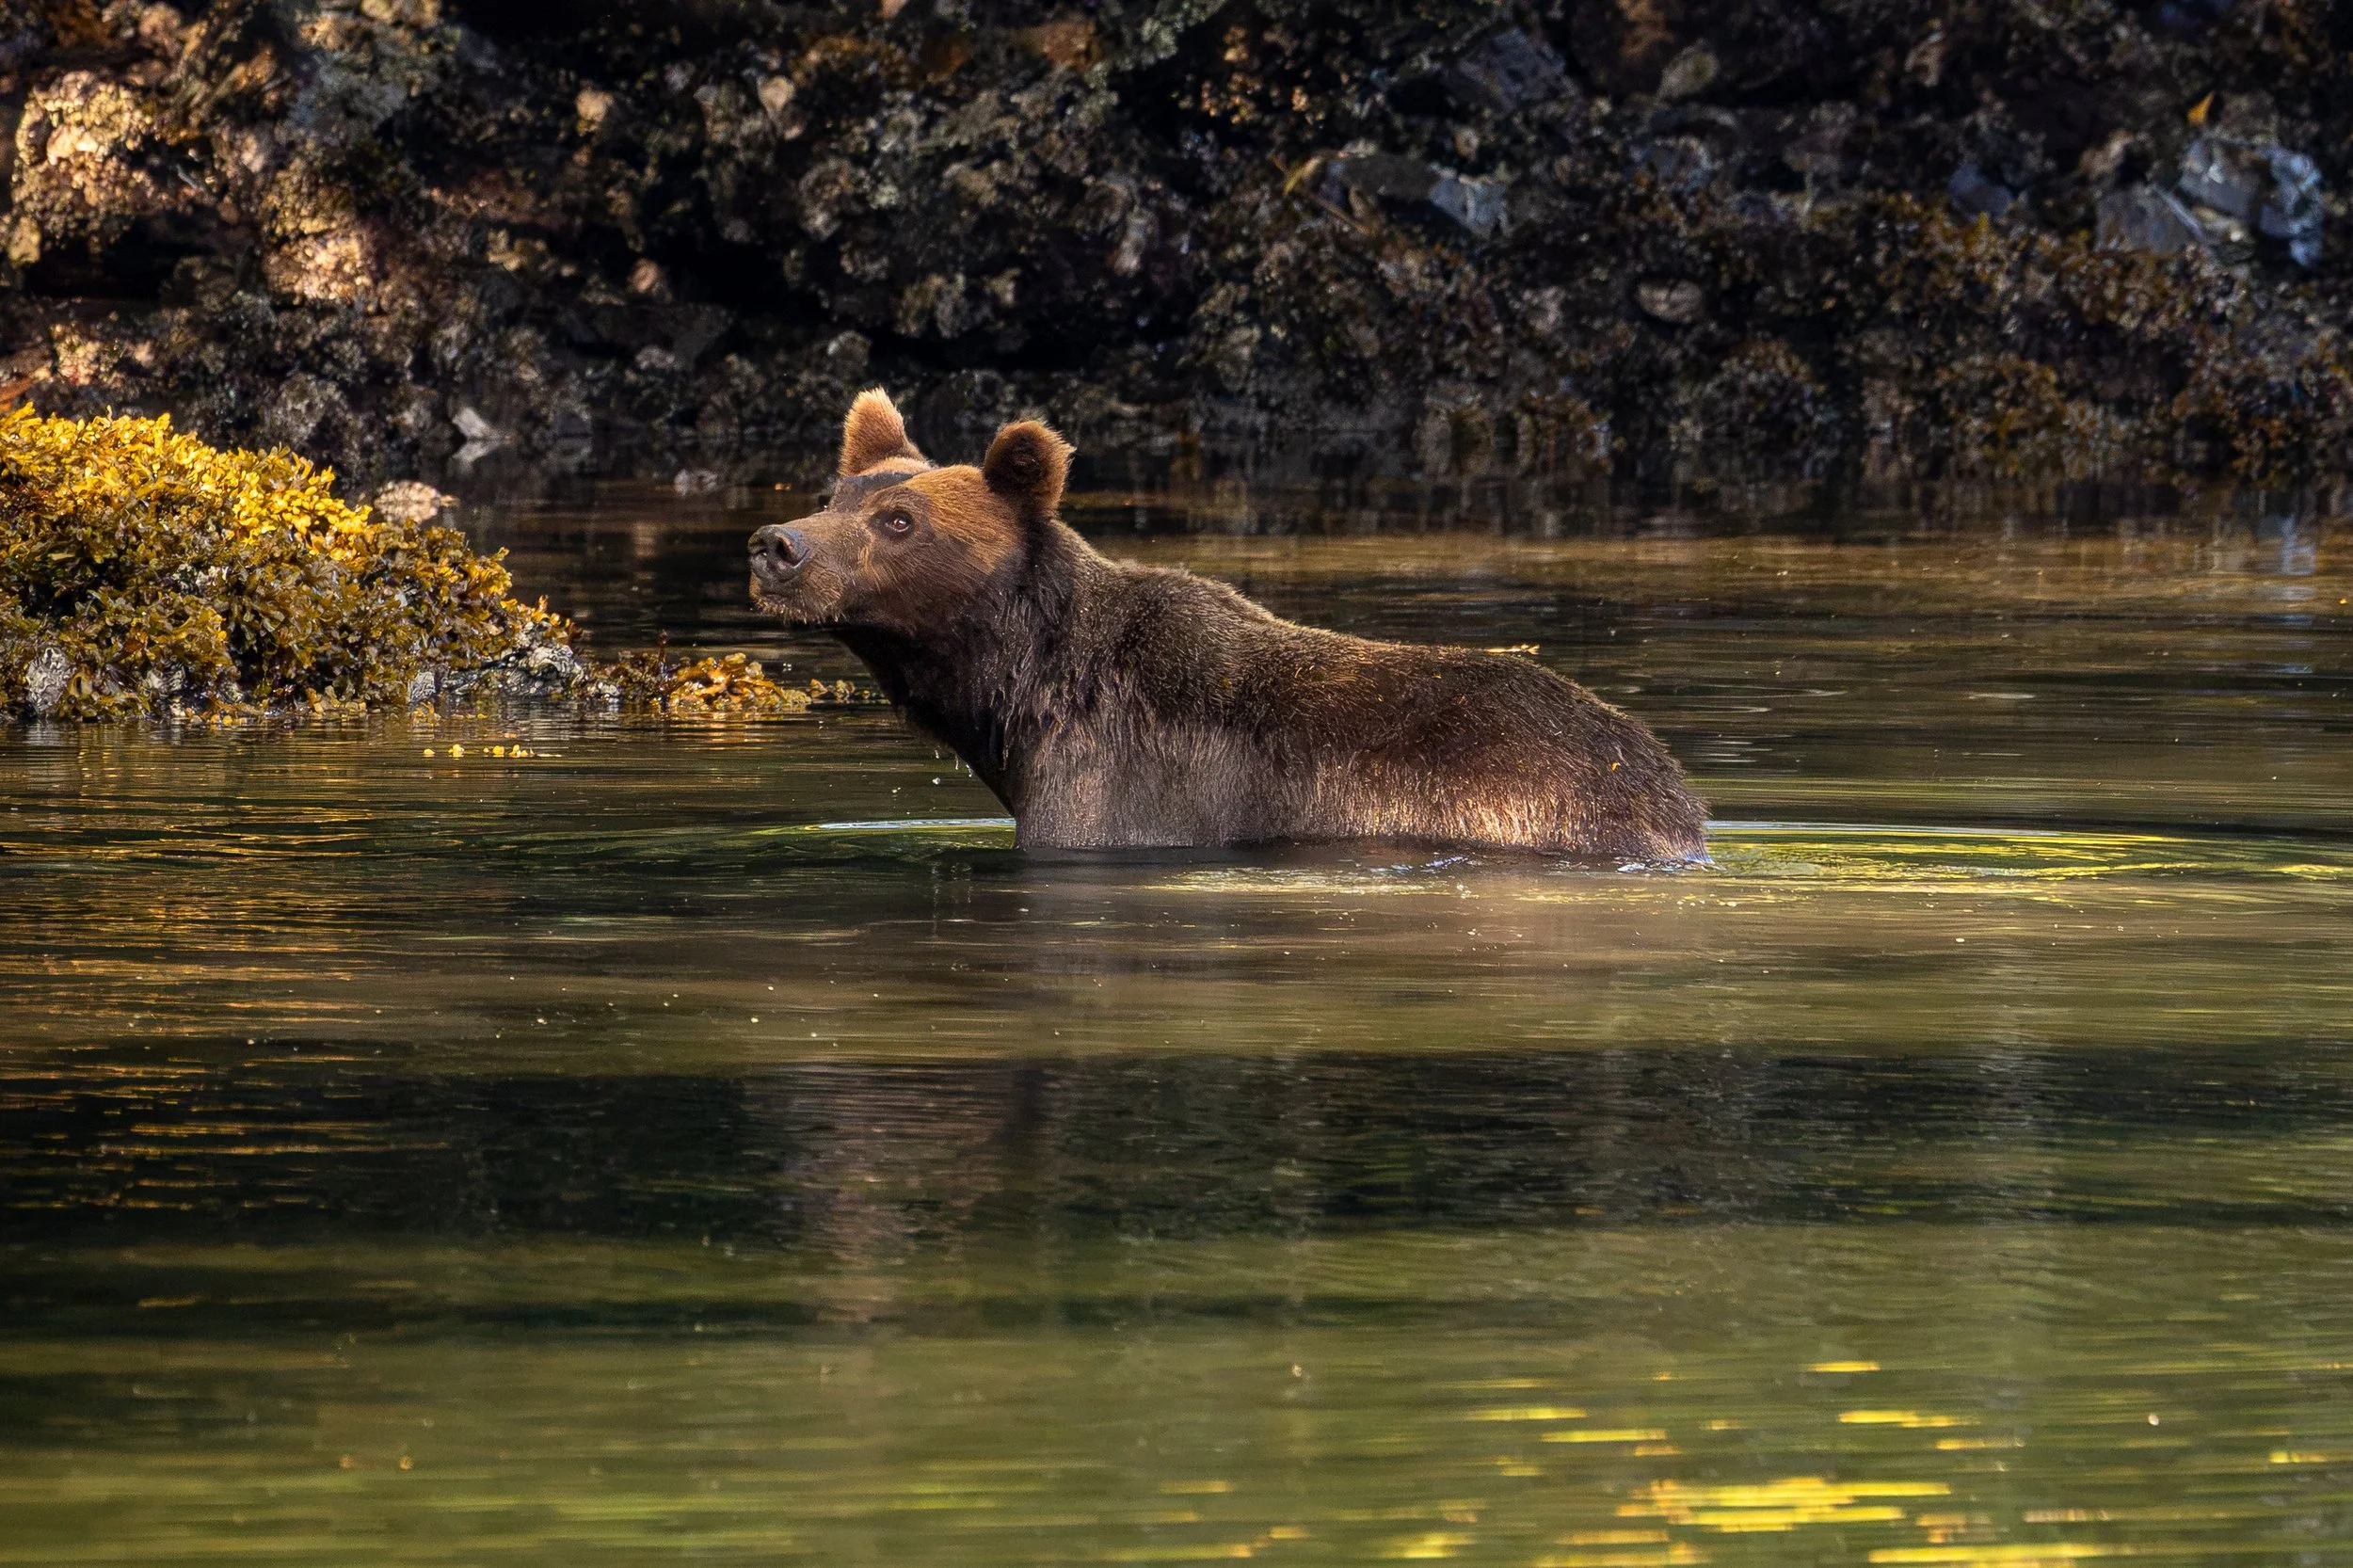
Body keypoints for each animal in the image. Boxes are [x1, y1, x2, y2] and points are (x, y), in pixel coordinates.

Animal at [748, 389, 1705, 860]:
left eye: (899, 520)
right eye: (834, 495)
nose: (777, 546)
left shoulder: (1112, 790)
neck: (1014, 693)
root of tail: (1675, 807)